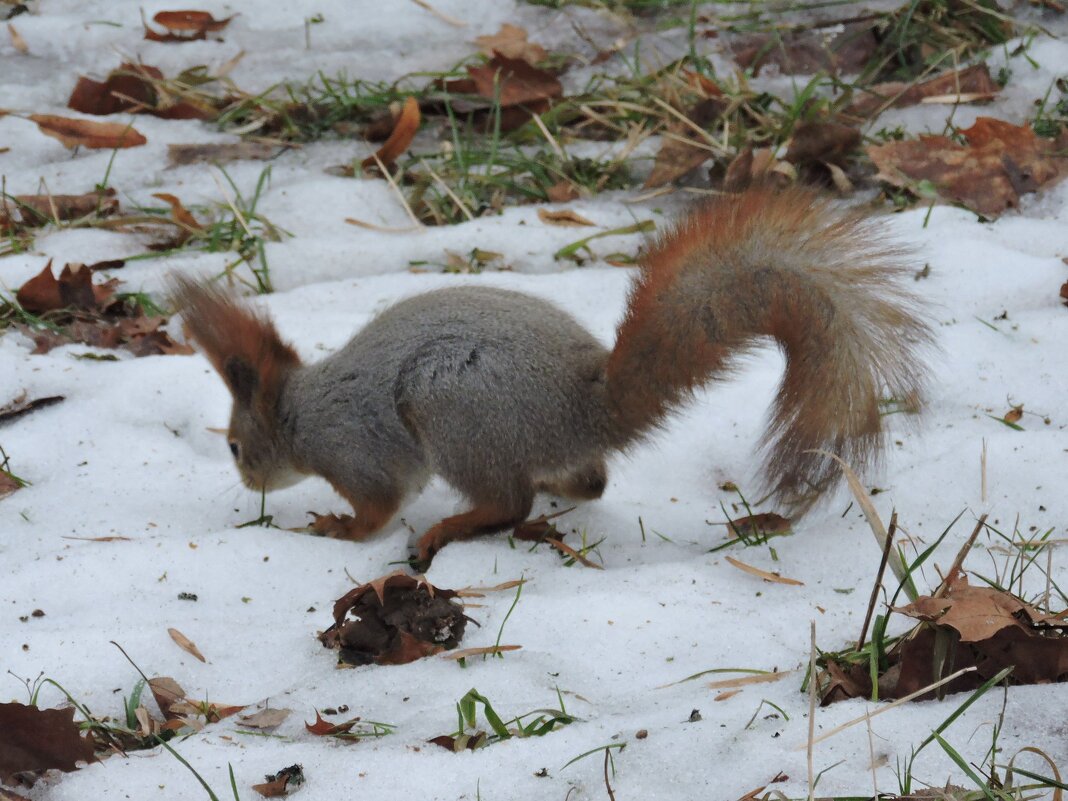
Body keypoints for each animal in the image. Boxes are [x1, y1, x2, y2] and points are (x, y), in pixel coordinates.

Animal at [170, 187, 931, 563]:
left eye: (235, 445)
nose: (245, 477)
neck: (303, 411)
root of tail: (581, 408)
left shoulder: (356, 452)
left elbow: (377, 510)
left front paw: (335, 528)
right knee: (586, 483)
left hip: (450, 406)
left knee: (509, 502)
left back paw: (450, 529)